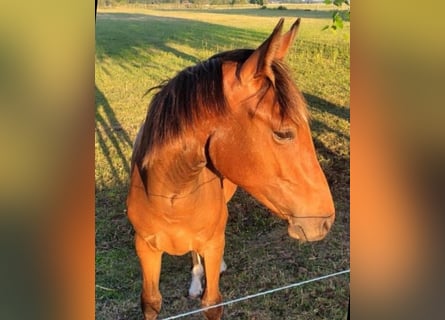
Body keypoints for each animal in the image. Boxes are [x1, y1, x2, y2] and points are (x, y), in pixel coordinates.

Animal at [125, 18, 332, 318]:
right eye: (283, 133)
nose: (325, 221)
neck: (169, 196)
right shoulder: (145, 249)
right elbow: (151, 302)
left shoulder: (211, 243)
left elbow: (212, 301)